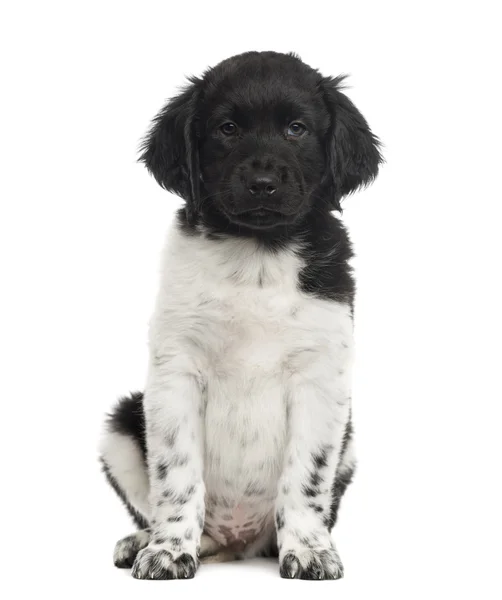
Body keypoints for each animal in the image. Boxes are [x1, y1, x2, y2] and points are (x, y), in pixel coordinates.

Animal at [98, 50, 382, 580]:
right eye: (227, 129)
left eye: (296, 128)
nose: (262, 184)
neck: (258, 257)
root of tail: (239, 544)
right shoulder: (176, 372)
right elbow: (177, 476)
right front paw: (168, 550)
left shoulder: (320, 379)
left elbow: (306, 478)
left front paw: (309, 550)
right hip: (122, 422)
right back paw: (147, 540)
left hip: (349, 443)